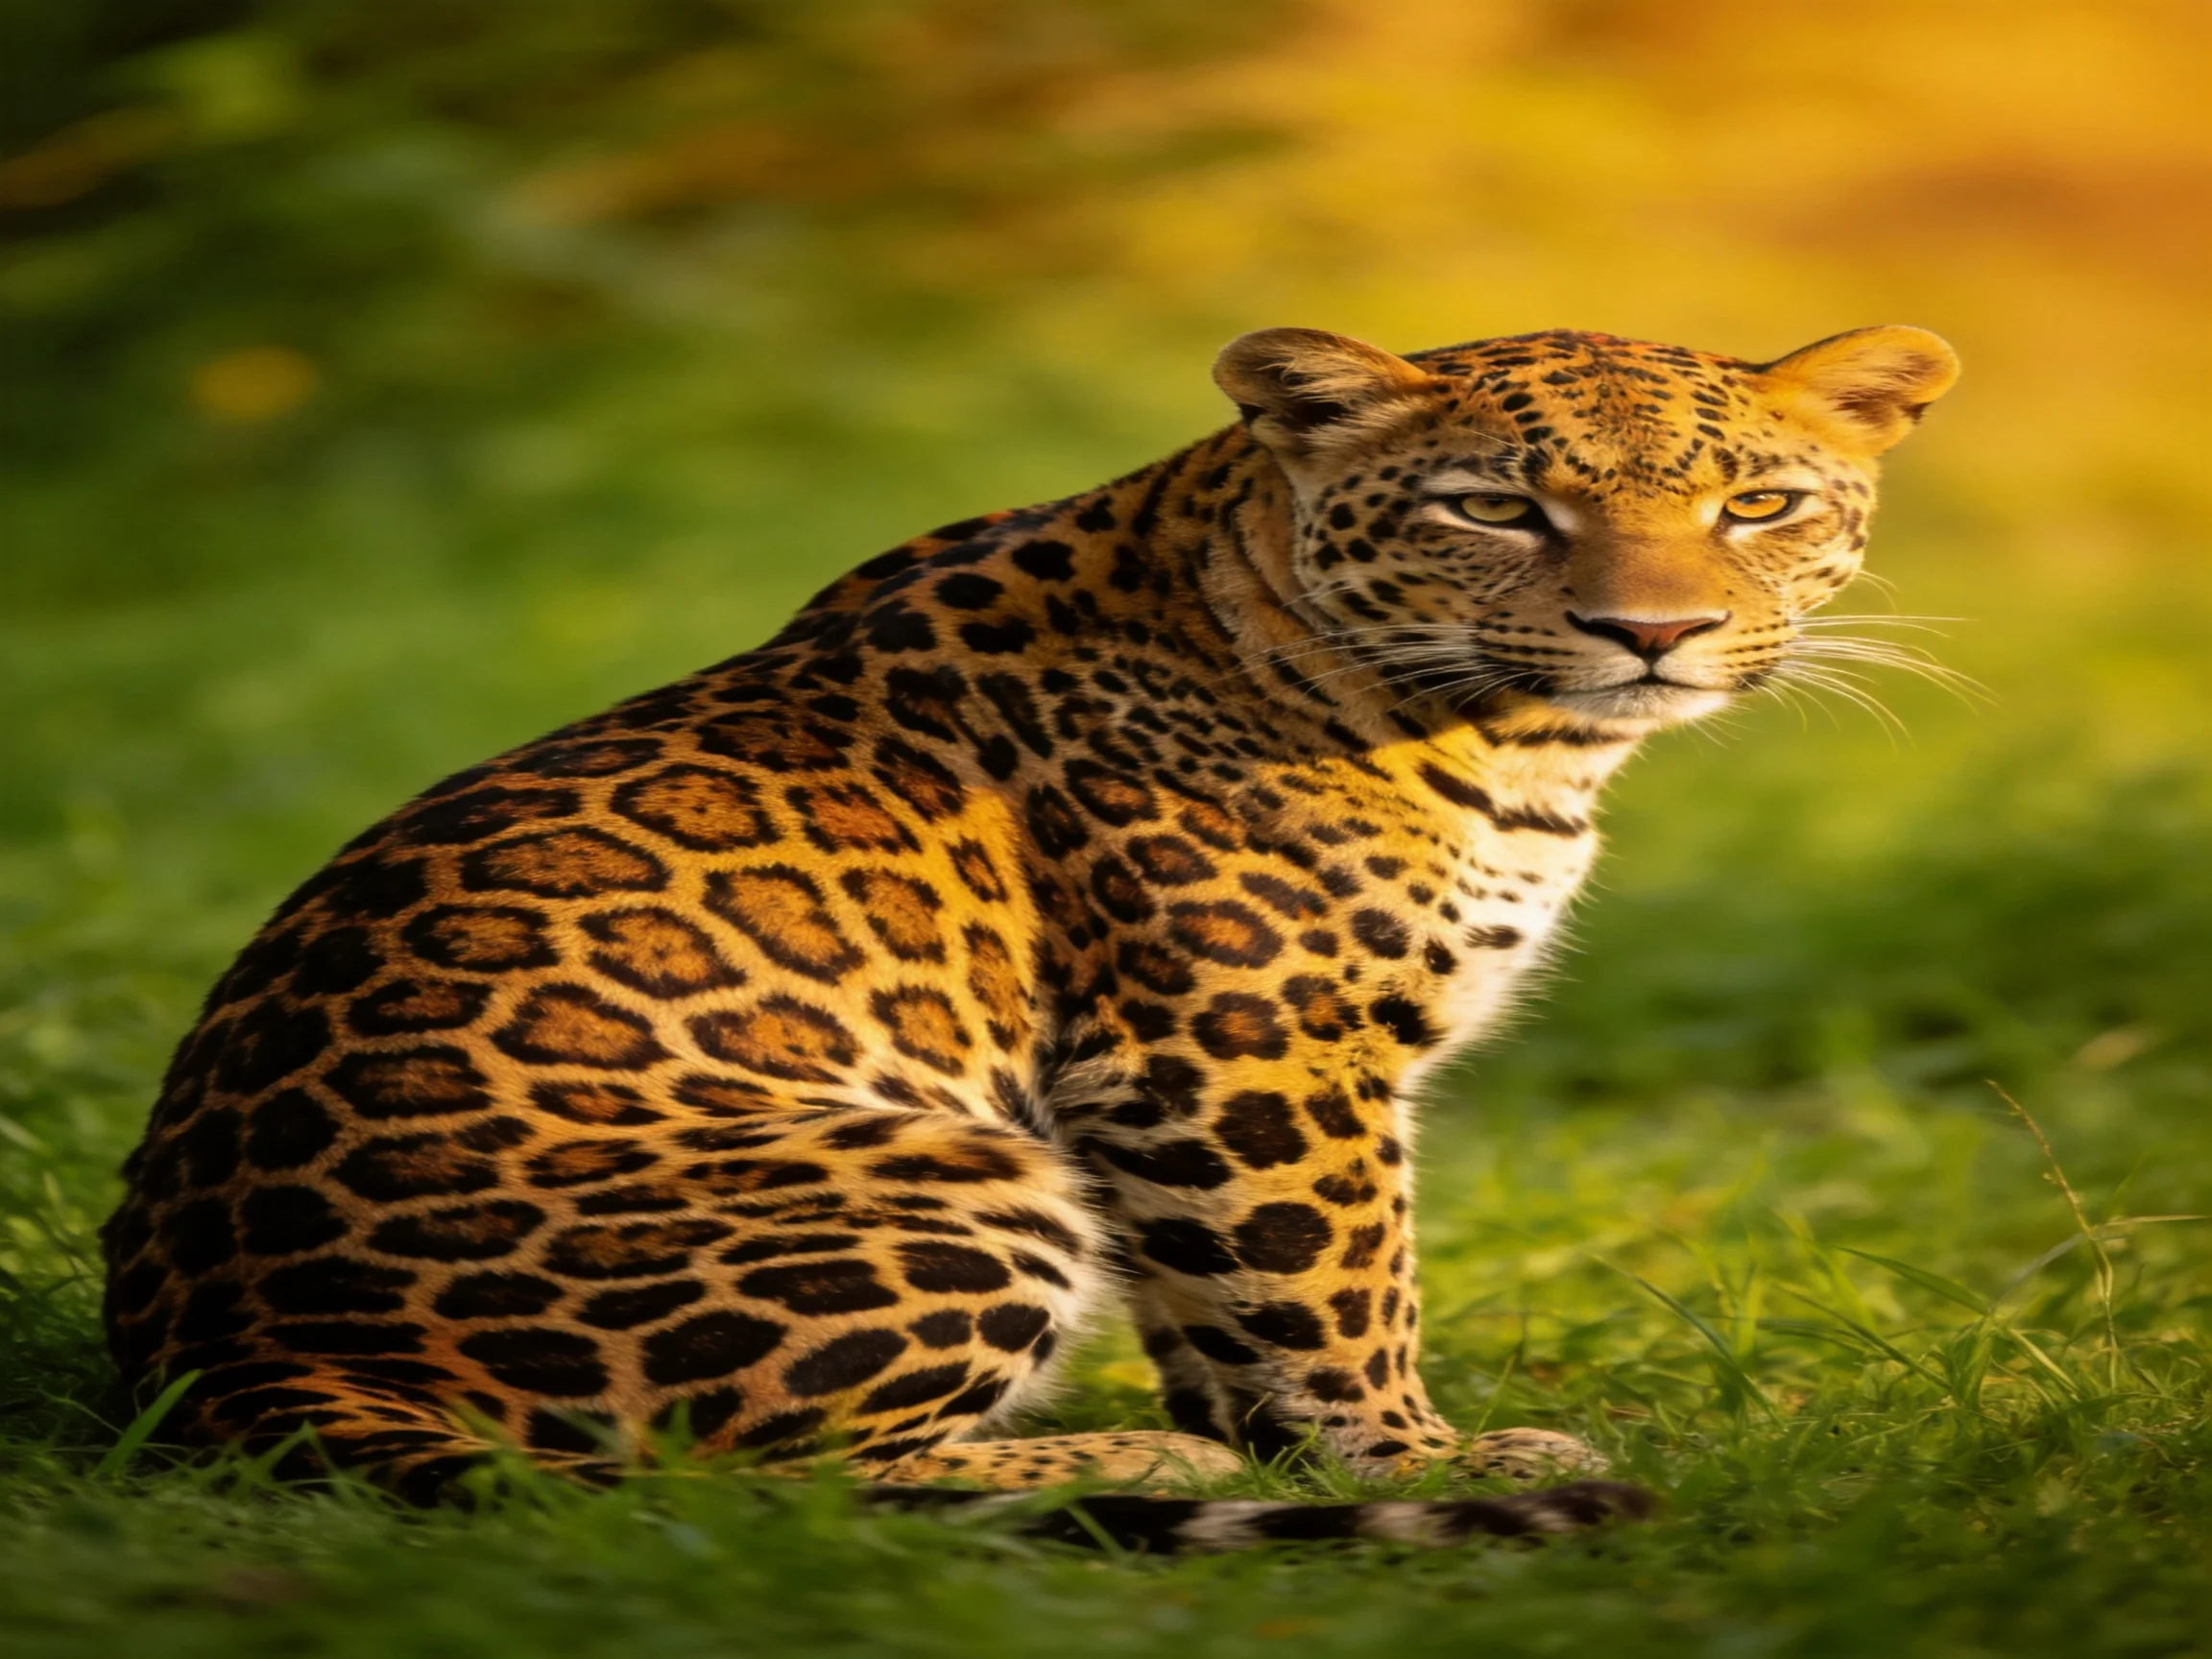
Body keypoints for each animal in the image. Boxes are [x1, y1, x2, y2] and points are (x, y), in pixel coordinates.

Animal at [101, 321, 1957, 1549]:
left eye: (1757, 506)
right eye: (1493, 510)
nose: (1651, 632)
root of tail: (233, 1364)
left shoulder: (1182, 1098)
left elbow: (1225, 1303)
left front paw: (1285, 1450)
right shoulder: (1242, 1051)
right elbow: (1338, 1285)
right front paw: (1411, 1467)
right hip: (948, 1176)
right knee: (742, 1484)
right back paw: (1126, 1471)